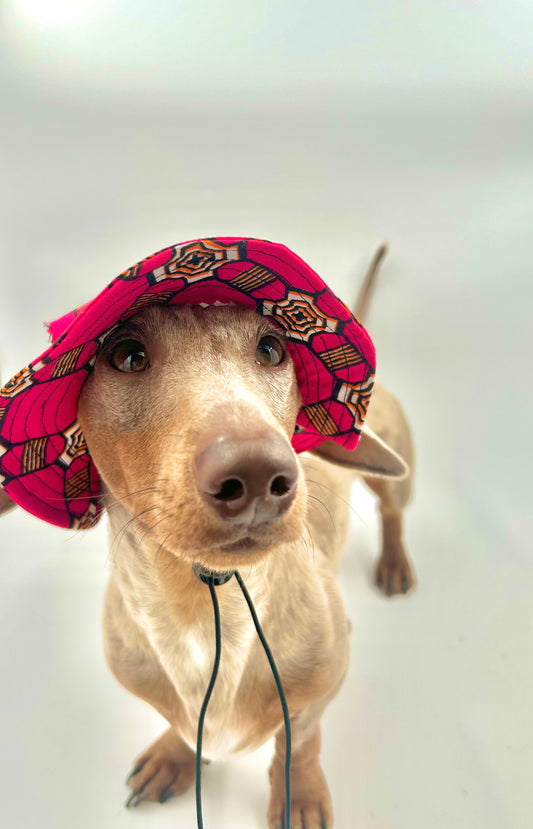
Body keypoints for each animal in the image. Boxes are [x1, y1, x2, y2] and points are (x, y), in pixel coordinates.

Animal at [1, 247, 416, 828]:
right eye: (127, 354)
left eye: (271, 348)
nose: (260, 475)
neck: (205, 604)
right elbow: (183, 727)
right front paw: (176, 757)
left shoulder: (322, 685)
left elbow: (300, 741)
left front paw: (300, 793)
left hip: (396, 475)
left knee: (393, 513)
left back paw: (395, 562)